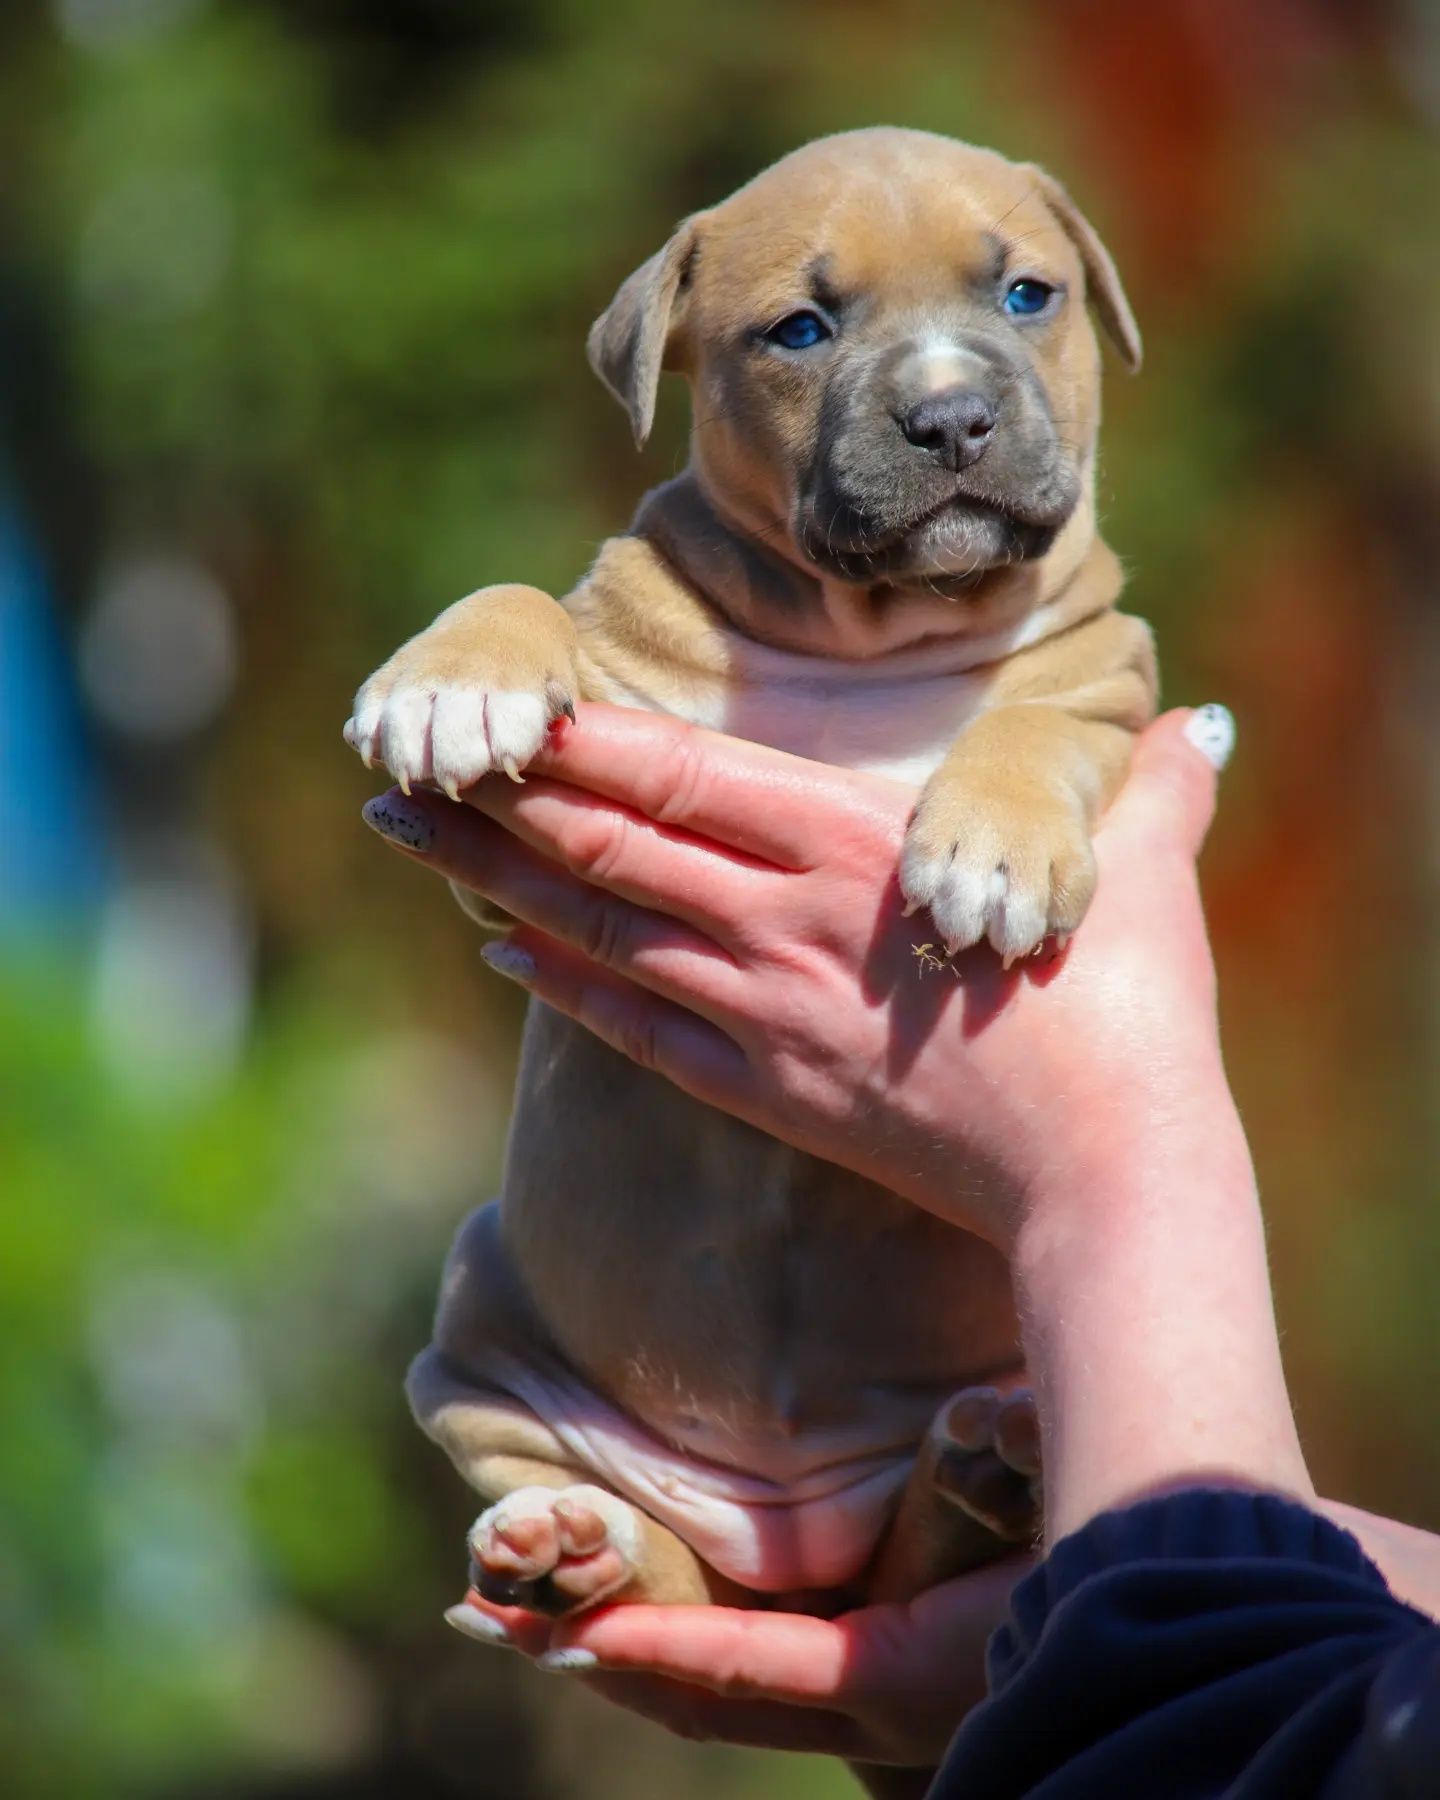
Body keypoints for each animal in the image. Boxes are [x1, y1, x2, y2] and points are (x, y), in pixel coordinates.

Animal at [349, 133, 1159, 1634]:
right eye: (800, 330)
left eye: (1027, 295)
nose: (952, 419)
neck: (868, 641)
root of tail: (794, 1564)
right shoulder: (532, 855)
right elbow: (524, 599)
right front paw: (454, 675)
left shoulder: (1110, 687)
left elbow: (1035, 727)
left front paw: (995, 846)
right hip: (479, 1329)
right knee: (652, 1574)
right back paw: (575, 1546)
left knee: (928, 1546)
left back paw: (990, 1465)